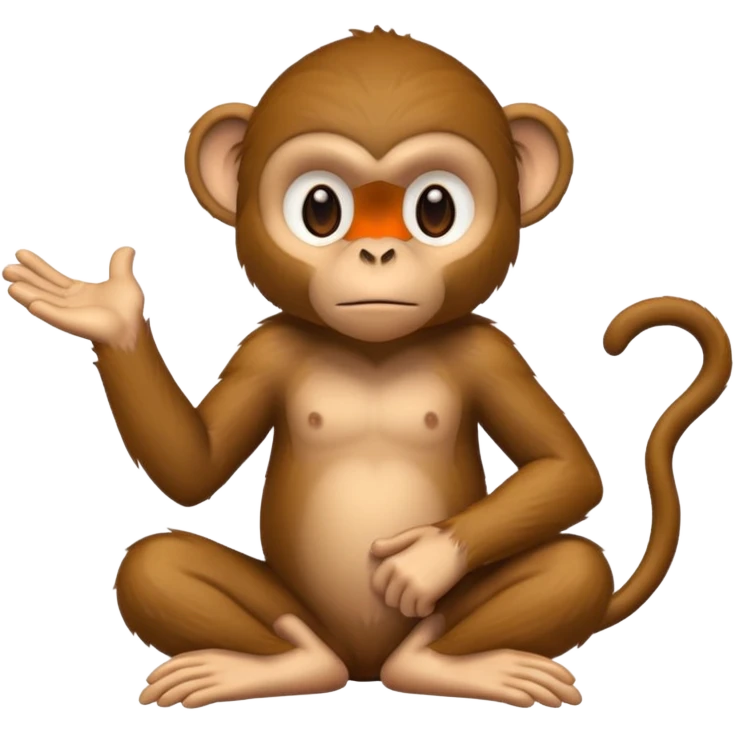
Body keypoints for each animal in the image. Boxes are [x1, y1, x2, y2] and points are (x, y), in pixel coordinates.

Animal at [2, 27, 732, 710]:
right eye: (320, 208)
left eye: (435, 208)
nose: (377, 254)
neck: (372, 348)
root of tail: (363, 668)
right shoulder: (265, 346)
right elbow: (192, 471)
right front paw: (110, 313)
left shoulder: (490, 350)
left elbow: (568, 470)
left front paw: (422, 562)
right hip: (298, 611)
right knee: (156, 563)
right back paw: (292, 662)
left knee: (574, 565)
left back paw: (435, 661)